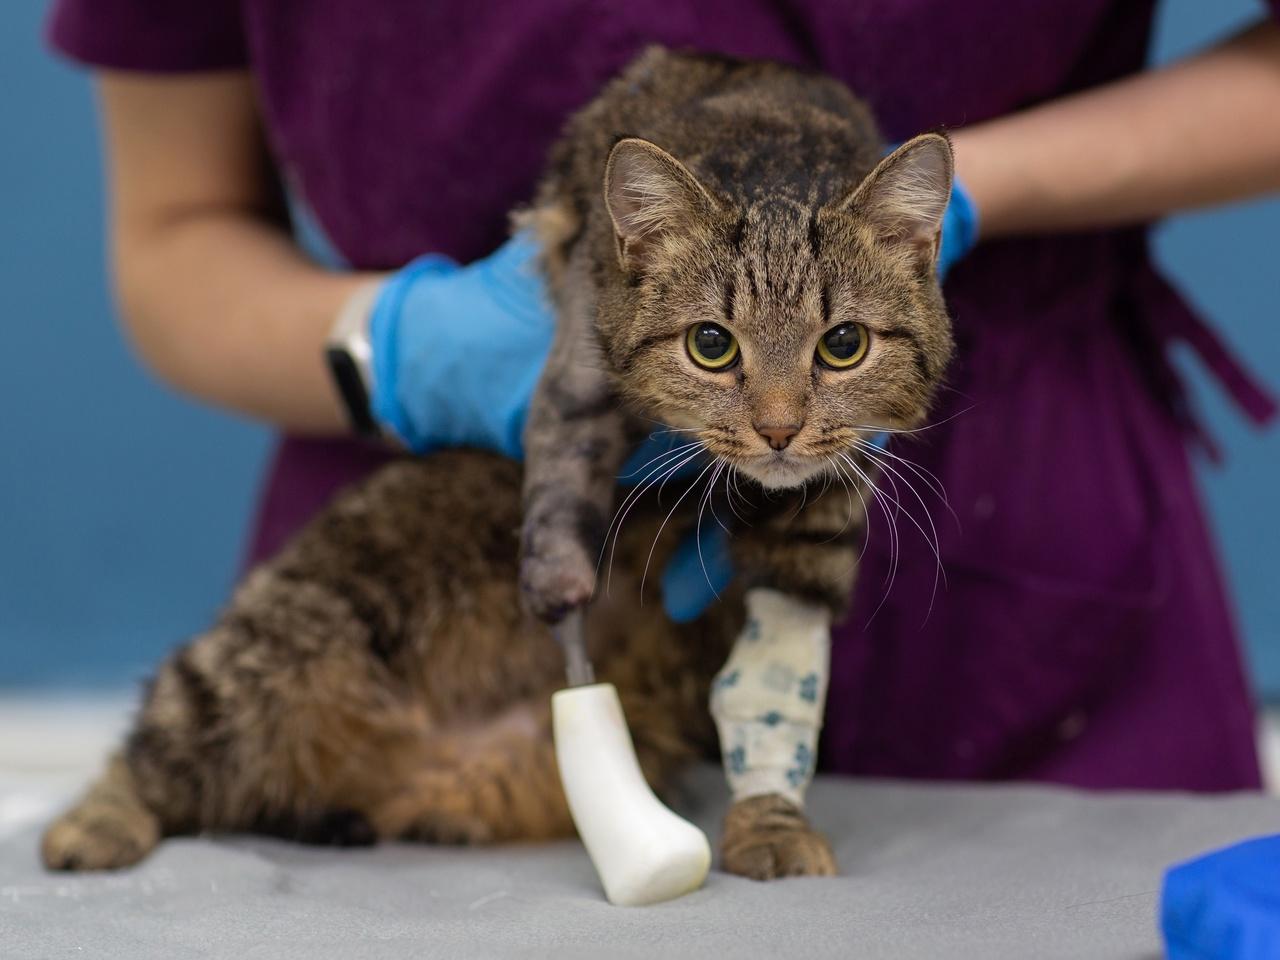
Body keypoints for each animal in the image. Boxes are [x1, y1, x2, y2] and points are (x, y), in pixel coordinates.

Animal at [45, 48, 952, 885]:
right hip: (271, 649)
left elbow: (775, 680)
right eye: (711, 344)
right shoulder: (577, 362)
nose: (778, 430)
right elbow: (560, 471)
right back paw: (92, 828)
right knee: (153, 748)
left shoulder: (815, 531)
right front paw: (559, 579)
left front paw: (769, 823)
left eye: (843, 345)